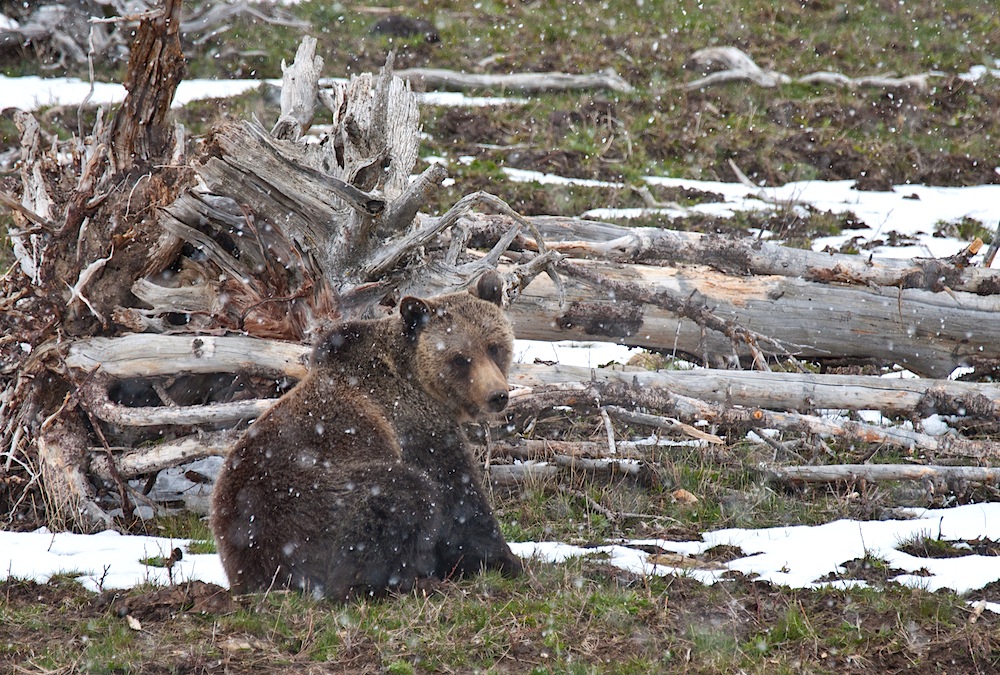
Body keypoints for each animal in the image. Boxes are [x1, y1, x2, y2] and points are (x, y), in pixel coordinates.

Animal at [211, 274, 524, 604]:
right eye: (460, 359)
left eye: (493, 347)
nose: (497, 395)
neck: (418, 382)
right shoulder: (416, 427)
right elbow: (457, 496)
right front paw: (505, 560)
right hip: (307, 504)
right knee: (399, 494)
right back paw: (404, 583)